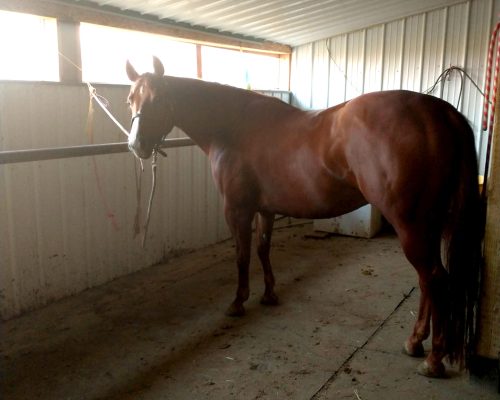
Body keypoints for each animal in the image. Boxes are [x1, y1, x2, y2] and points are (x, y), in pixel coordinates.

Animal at [126, 57, 484, 378]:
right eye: (131, 99)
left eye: (157, 99)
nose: (136, 145)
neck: (234, 126)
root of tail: (441, 112)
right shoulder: (265, 209)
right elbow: (263, 250)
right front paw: (269, 294)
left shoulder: (237, 209)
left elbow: (242, 256)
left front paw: (238, 302)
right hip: (427, 226)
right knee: (426, 281)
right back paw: (415, 342)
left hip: (411, 225)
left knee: (434, 278)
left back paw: (433, 359)